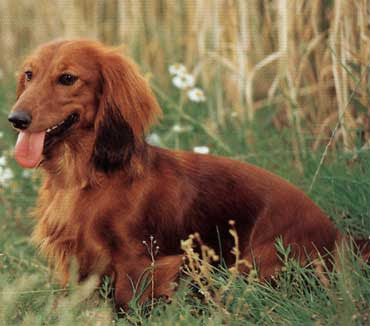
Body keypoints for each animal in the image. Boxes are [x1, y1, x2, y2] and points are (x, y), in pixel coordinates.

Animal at [7, 39, 368, 310]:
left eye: (67, 78)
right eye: (29, 74)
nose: (16, 119)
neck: (84, 180)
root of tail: (339, 237)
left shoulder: (143, 261)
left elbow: (128, 300)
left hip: (253, 263)